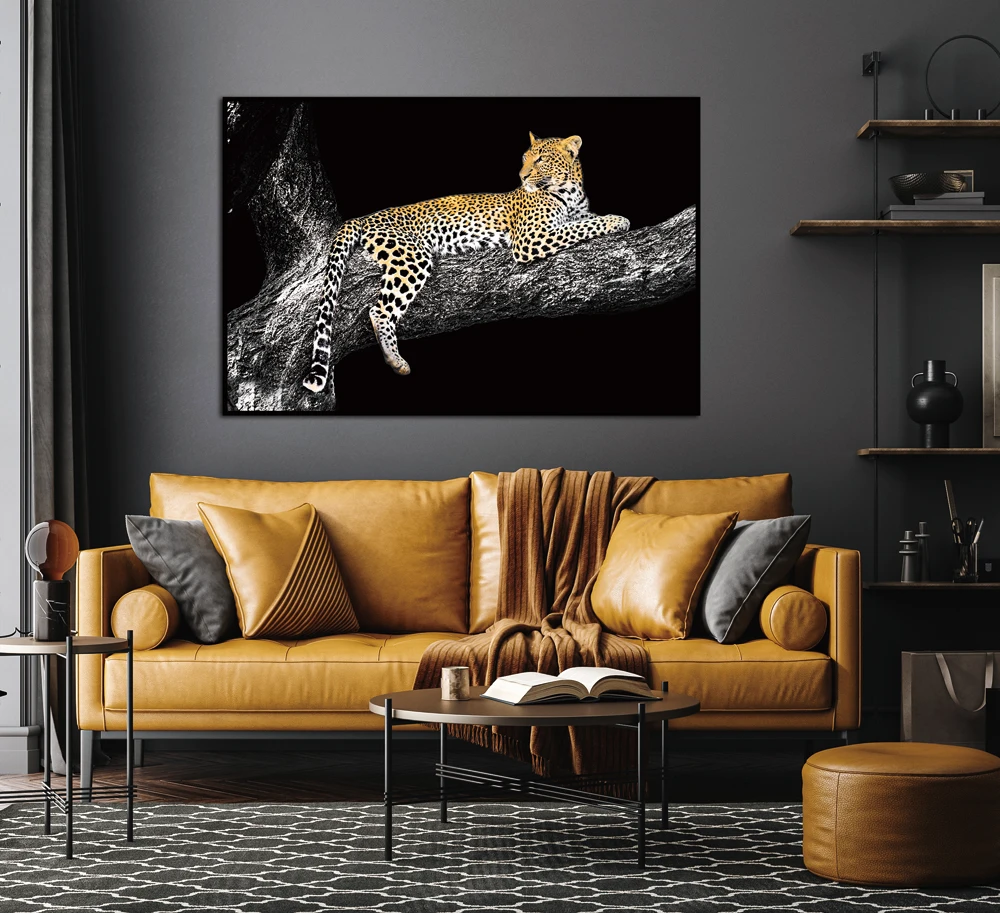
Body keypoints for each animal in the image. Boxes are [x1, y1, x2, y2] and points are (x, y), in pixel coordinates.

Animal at [301, 133, 630, 393]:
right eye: (525, 159)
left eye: (541, 159)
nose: (522, 177)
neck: (571, 192)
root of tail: (364, 216)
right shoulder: (530, 238)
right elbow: (580, 227)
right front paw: (618, 220)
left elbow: (584, 221)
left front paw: (613, 217)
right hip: (412, 257)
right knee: (379, 310)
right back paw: (396, 360)